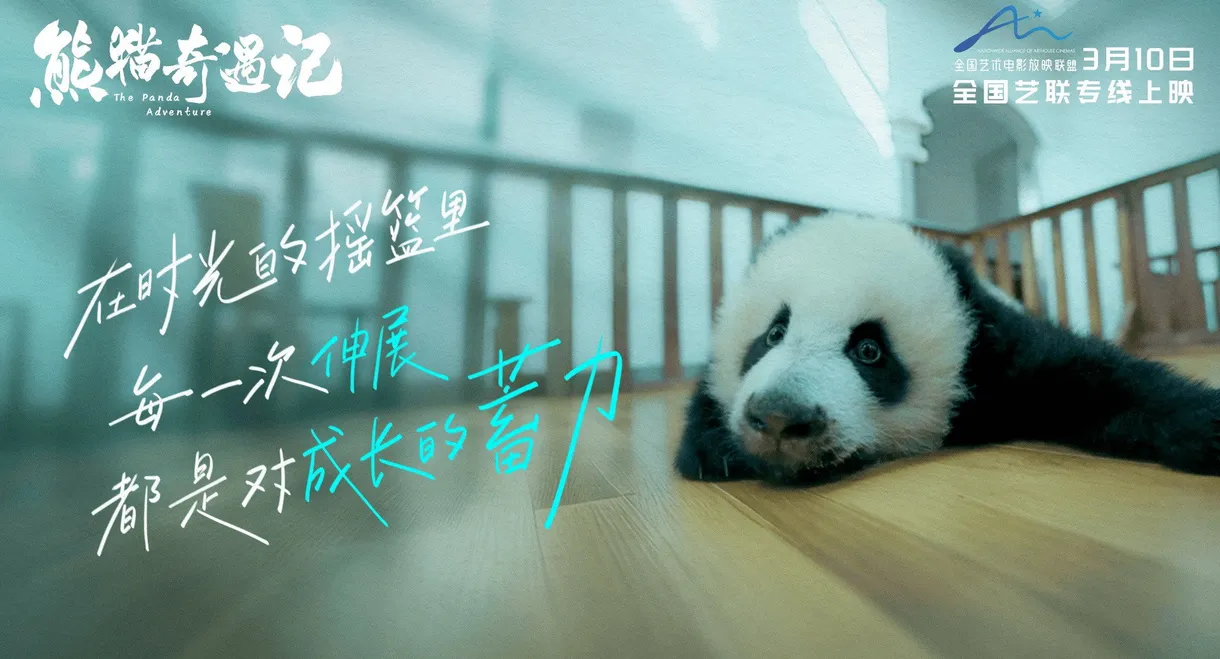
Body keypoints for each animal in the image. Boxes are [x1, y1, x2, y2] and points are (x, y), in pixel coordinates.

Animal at [674, 211, 1220, 485]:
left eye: (869, 351)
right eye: (772, 335)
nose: (779, 416)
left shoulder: (992, 353)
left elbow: (1095, 378)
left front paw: (1204, 424)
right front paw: (712, 449)